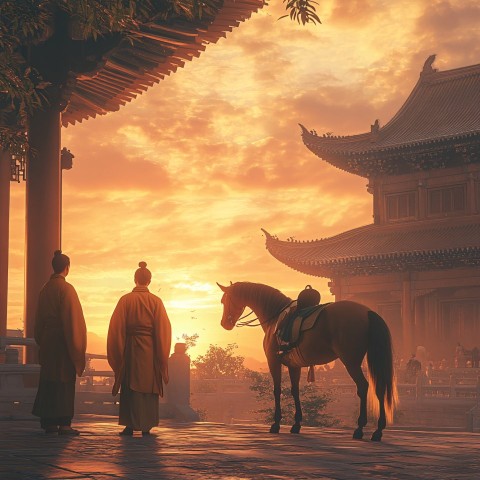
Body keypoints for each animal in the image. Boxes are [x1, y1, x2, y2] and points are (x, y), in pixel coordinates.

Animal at [218, 282, 398, 442]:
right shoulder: (294, 365)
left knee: (363, 387)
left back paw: (360, 428)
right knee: (380, 388)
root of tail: (367, 311)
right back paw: (378, 430)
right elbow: (295, 391)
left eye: (225, 300)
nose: (224, 324)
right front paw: (296, 423)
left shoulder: (273, 360)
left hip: (350, 360)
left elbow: (277, 390)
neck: (275, 318)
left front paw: (276, 423)